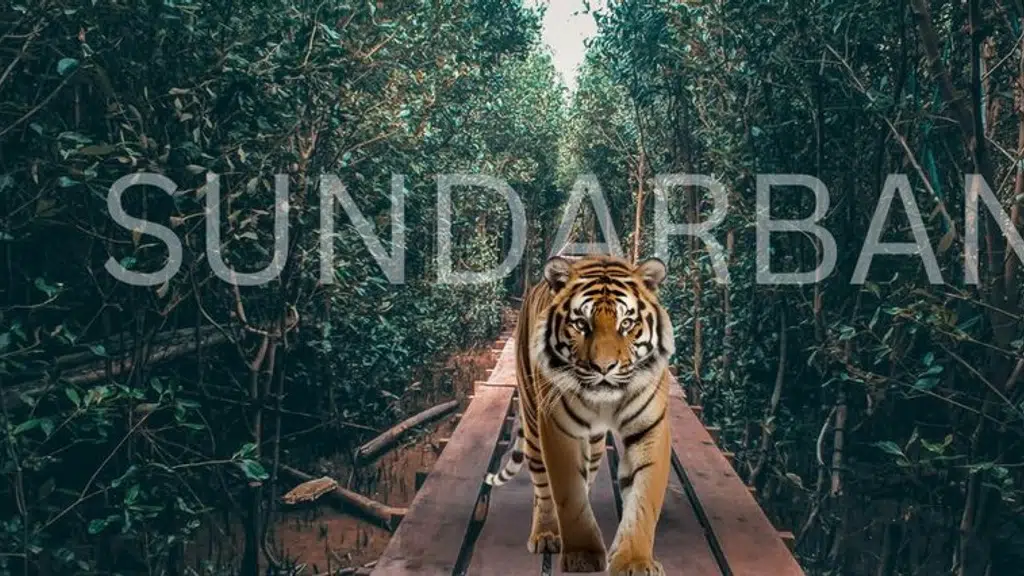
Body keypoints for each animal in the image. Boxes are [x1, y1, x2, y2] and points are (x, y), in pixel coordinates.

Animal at [484, 254, 675, 575]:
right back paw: (546, 534)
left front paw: (635, 561)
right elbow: (568, 495)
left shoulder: (649, 430)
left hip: (595, 445)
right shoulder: (559, 430)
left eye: (627, 323)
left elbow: (643, 499)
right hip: (534, 425)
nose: (604, 367)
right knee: (542, 488)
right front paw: (583, 555)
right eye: (581, 324)